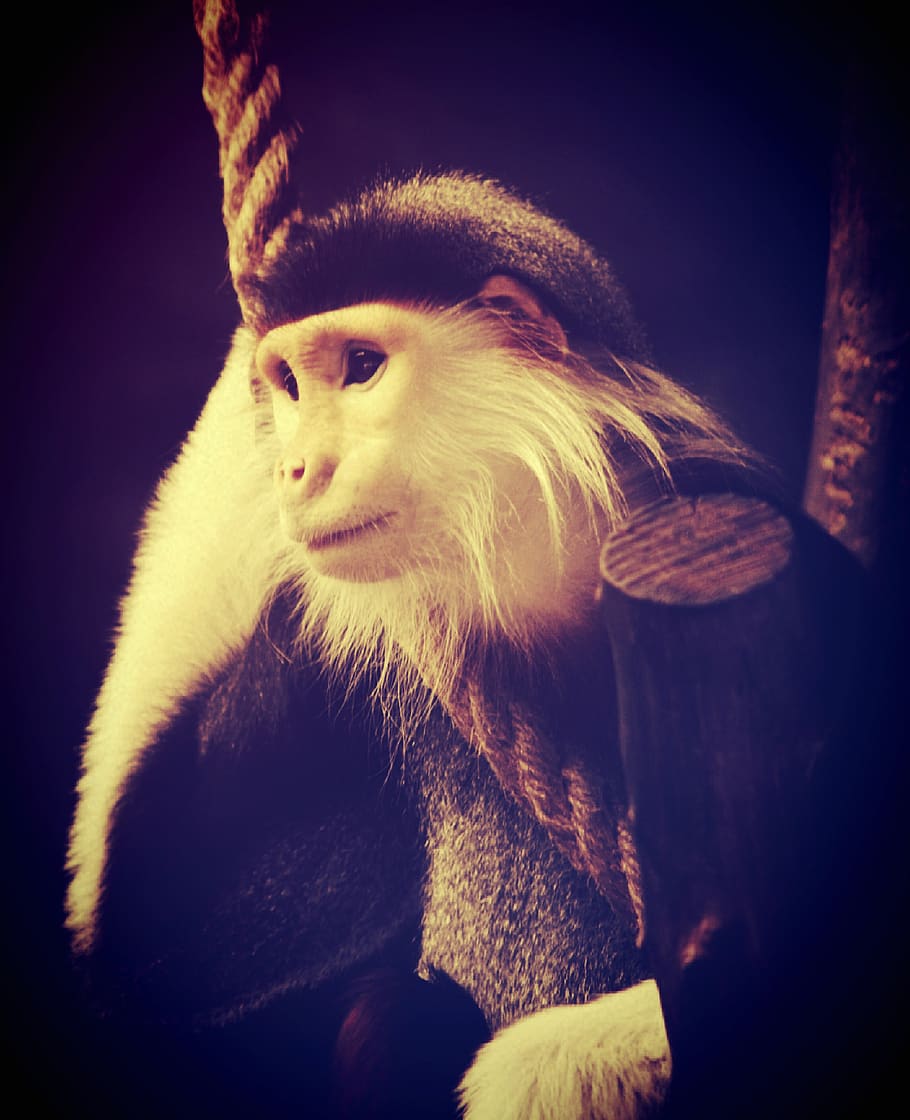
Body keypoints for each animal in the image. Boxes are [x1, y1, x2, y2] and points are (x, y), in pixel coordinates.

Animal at [65, 166, 762, 1117]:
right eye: (289, 384)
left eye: (362, 368)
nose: (294, 469)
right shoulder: (317, 667)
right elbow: (138, 958)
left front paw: (542, 1070)